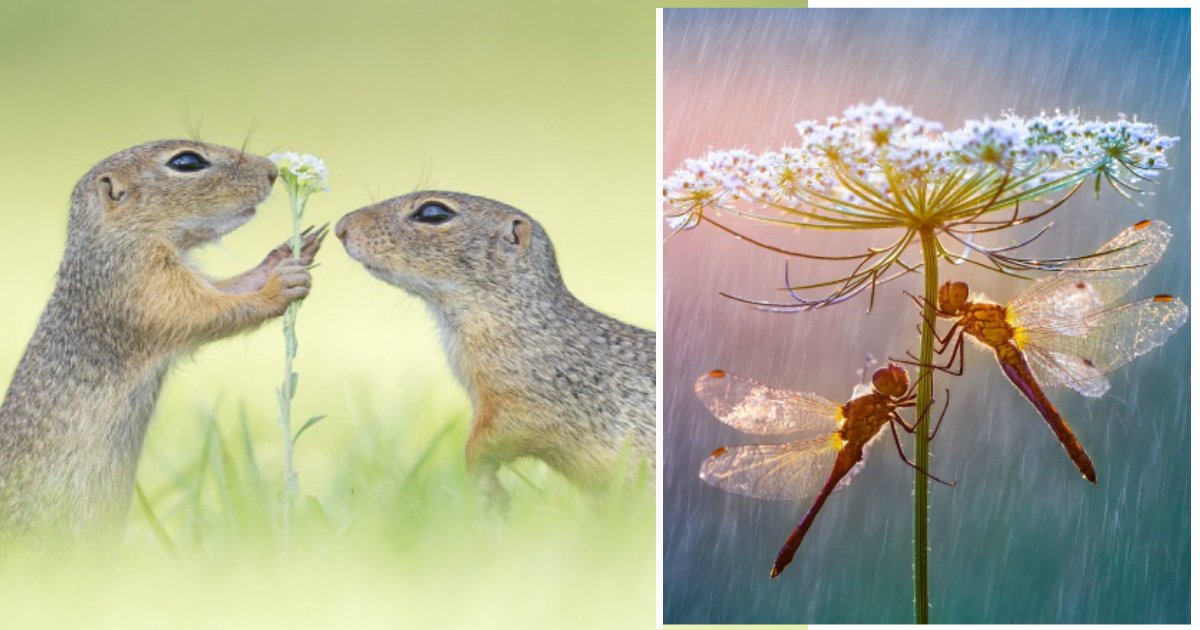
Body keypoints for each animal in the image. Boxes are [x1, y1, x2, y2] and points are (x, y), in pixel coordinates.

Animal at [0, 139, 328, 532]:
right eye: (186, 162)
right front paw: (280, 286)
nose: (272, 170)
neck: (116, 242)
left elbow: (226, 290)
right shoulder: (144, 286)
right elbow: (205, 310)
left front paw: (285, 255)